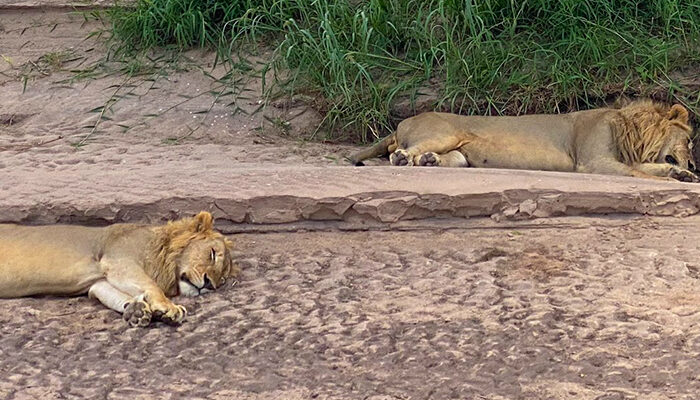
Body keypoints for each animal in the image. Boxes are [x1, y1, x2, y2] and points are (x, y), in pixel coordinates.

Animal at [0, 211, 238, 327]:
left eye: (222, 280)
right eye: (212, 253)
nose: (209, 284)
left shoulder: (100, 281)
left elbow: (111, 294)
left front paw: (137, 310)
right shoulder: (118, 261)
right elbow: (151, 286)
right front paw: (168, 307)